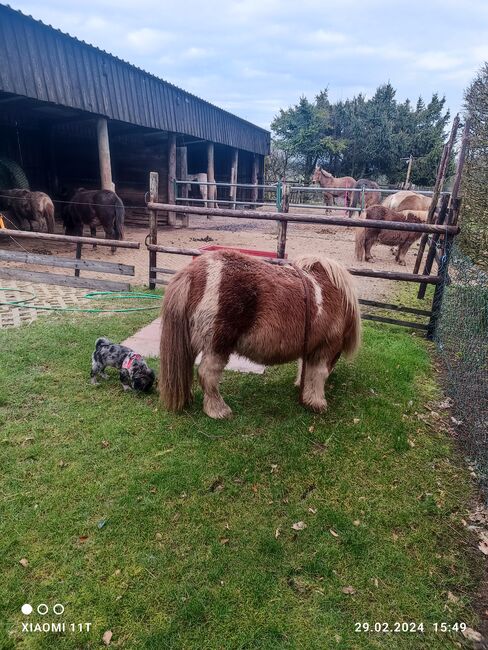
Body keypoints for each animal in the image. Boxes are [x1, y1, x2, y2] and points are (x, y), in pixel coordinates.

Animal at [158, 246, 360, 418]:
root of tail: (193, 272)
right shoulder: (327, 346)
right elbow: (318, 373)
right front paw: (317, 402)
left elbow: (305, 367)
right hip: (217, 344)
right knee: (207, 373)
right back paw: (218, 410)